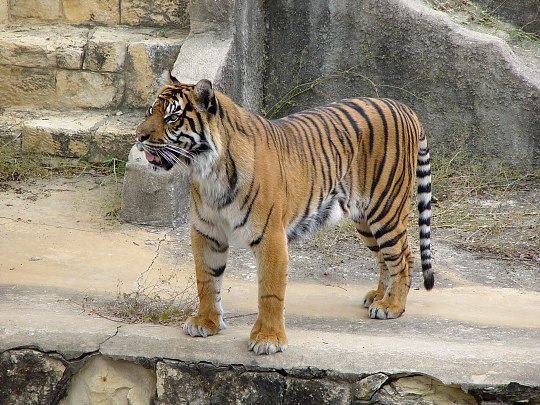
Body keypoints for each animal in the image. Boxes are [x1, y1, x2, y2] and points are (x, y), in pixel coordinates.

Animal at [136, 72, 434, 354]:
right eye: (150, 112)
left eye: (172, 118)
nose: (138, 137)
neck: (207, 170)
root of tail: (403, 107)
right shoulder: (206, 232)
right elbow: (206, 280)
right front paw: (206, 322)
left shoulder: (270, 236)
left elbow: (270, 292)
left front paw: (268, 339)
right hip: (365, 218)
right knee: (389, 256)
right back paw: (379, 297)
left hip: (386, 209)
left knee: (402, 258)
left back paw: (391, 305)